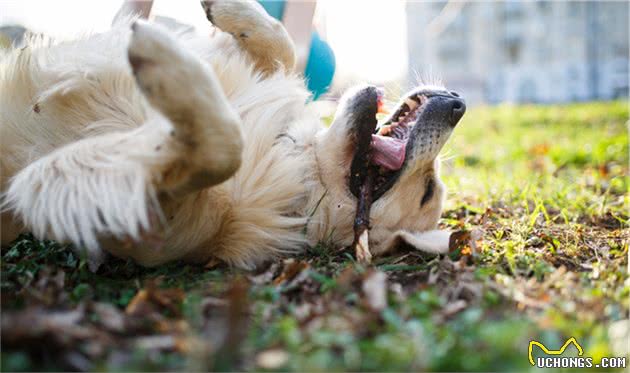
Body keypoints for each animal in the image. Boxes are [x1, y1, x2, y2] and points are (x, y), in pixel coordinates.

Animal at [0, 0, 464, 268]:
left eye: (426, 191)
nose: (458, 103)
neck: (293, 157)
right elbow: (283, 46)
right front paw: (231, 11)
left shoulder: (149, 233)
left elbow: (223, 144)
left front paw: (170, 68)